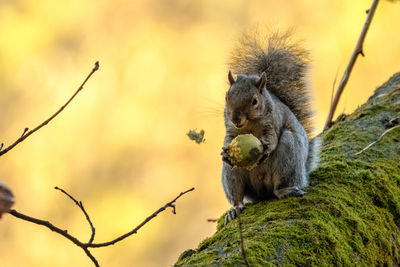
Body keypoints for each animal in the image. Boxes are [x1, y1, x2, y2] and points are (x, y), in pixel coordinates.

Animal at [222, 30, 322, 225]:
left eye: (255, 101)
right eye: (226, 97)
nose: (236, 119)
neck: (250, 124)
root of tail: (262, 191)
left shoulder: (272, 122)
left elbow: (272, 137)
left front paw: (267, 148)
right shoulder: (230, 129)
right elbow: (228, 139)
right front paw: (224, 151)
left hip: (289, 158)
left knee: (279, 186)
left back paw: (285, 191)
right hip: (231, 174)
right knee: (237, 196)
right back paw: (234, 209)